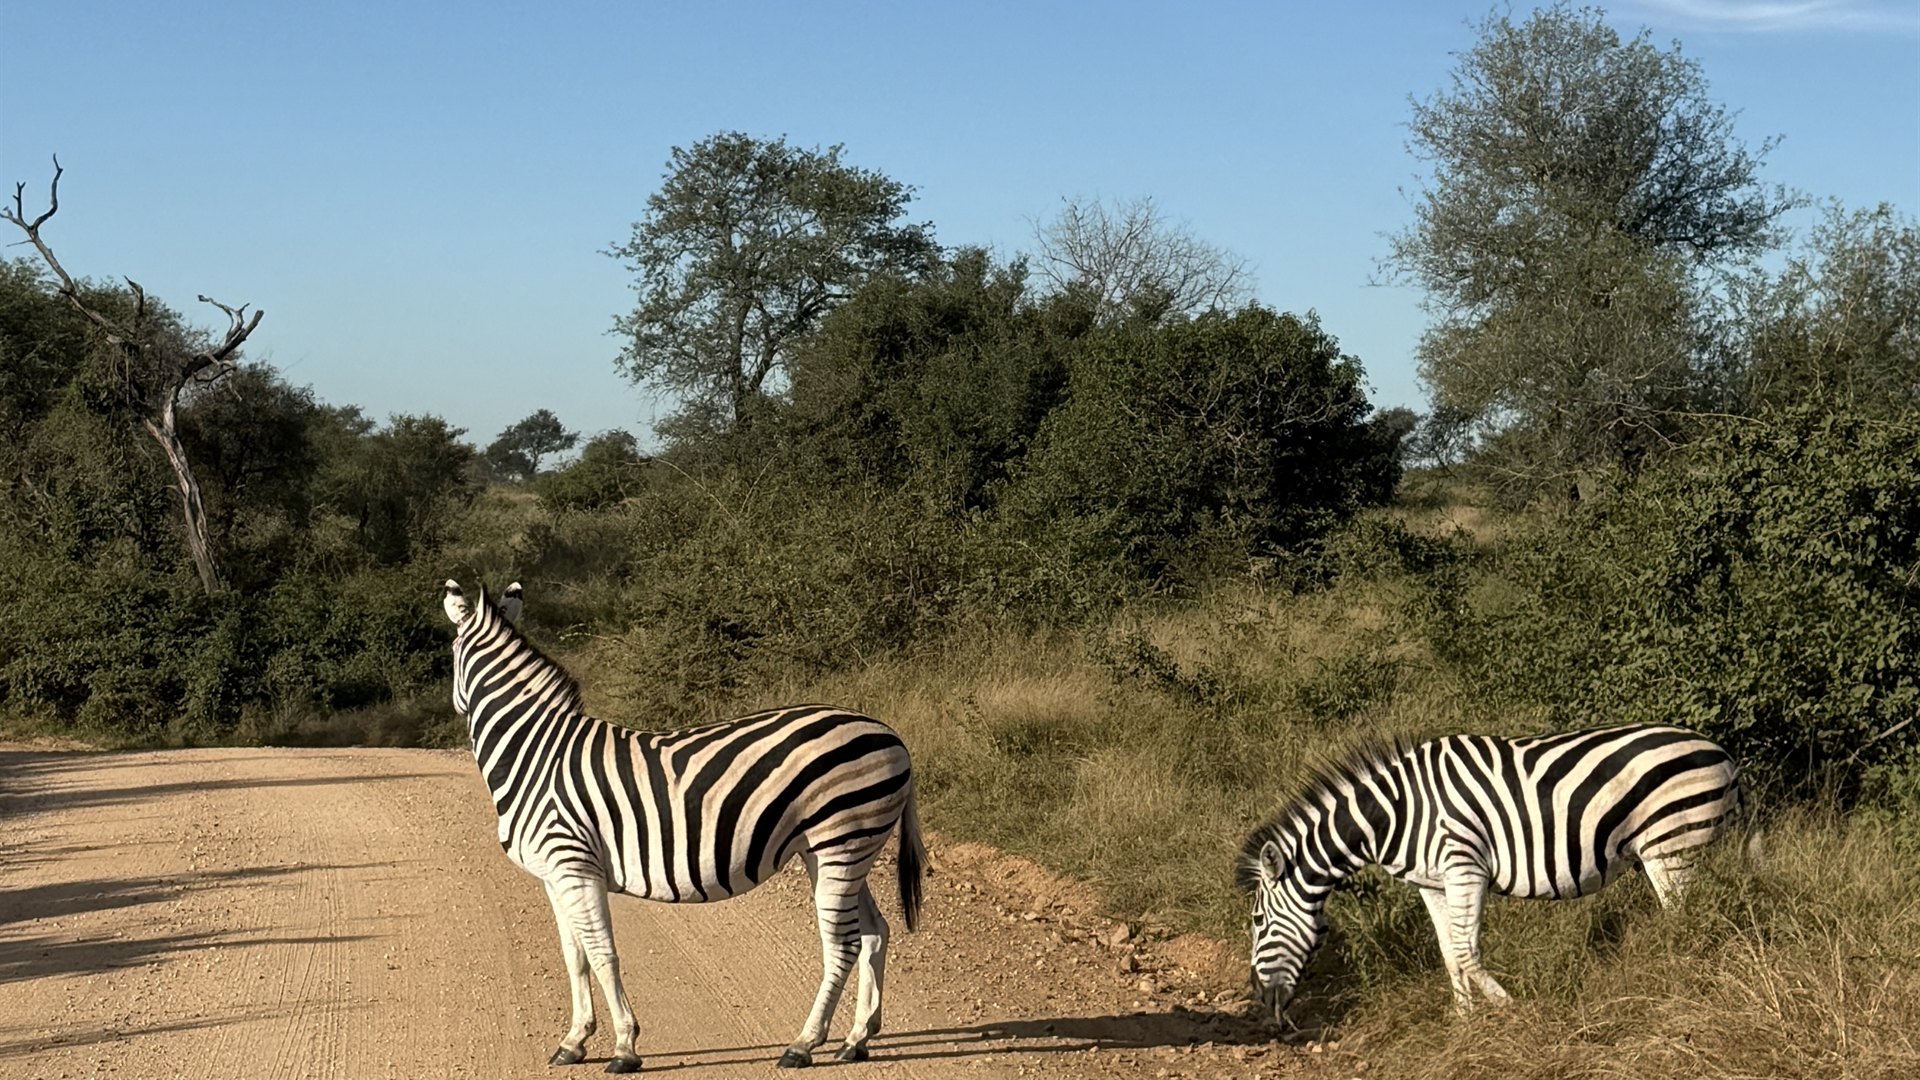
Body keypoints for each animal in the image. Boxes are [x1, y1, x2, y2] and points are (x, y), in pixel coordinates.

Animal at [440, 580, 927, 1071]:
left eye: (450, 651)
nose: (452, 706)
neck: (535, 752)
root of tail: (891, 733)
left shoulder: (574, 865)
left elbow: (601, 953)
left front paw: (624, 1046)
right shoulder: (555, 876)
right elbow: (574, 957)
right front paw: (574, 1041)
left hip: (842, 841)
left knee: (843, 944)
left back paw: (804, 1044)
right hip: (836, 850)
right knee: (874, 932)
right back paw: (857, 1039)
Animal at [1236, 723, 1738, 1018]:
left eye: (1258, 922)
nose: (1260, 1000)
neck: (1398, 813)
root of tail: (1721, 750)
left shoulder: (1465, 868)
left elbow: (1467, 951)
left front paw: (1509, 1010)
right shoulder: (1431, 884)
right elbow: (1449, 954)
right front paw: (1465, 1023)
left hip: (1671, 847)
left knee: (1685, 920)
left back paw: (1676, 981)